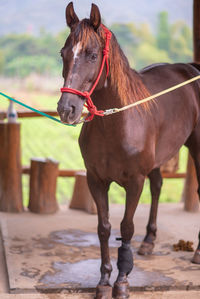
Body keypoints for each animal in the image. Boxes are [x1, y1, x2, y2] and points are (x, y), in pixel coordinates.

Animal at [57, 2, 200, 299]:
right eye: (63, 53)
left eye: (92, 55)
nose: (67, 109)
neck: (117, 122)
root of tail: (190, 69)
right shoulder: (96, 180)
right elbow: (104, 228)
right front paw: (103, 281)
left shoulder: (134, 182)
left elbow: (126, 227)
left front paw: (122, 282)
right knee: (157, 187)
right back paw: (149, 242)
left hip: (197, 145)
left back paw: (197, 253)